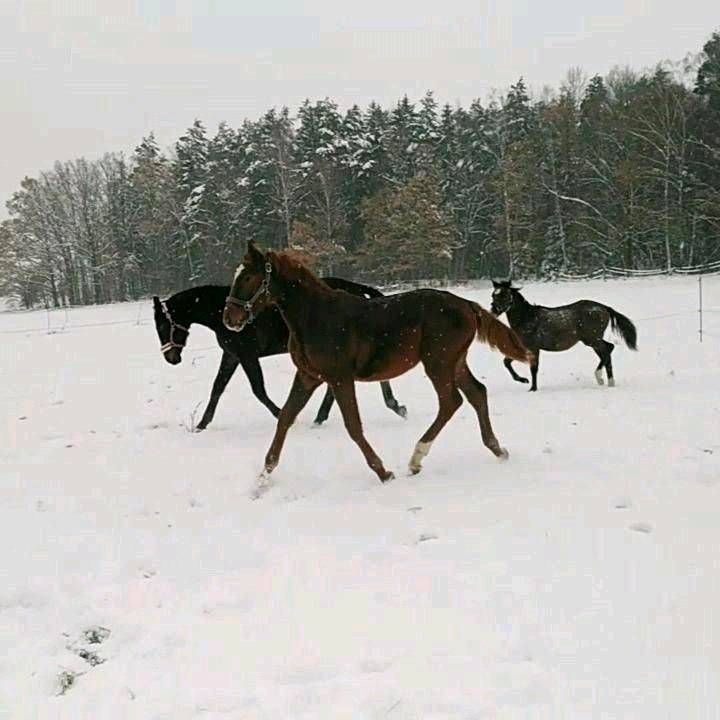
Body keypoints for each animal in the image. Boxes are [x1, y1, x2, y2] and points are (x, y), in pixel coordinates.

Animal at [151, 280, 404, 428]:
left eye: (163, 326)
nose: (171, 358)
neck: (221, 311)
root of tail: (357, 289)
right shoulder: (232, 355)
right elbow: (218, 387)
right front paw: (202, 423)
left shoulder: (247, 355)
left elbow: (258, 389)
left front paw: (281, 413)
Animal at [222, 243, 524, 490]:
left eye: (247, 277)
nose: (229, 318)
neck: (315, 317)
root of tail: (467, 305)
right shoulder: (308, 376)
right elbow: (285, 417)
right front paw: (263, 477)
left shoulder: (339, 378)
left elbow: (353, 425)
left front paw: (383, 472)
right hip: (455, 362)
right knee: (477, 393)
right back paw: (498, 450)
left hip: (438, 362)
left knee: (451, 401)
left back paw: (416, 459)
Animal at [490, 282, 636, 394]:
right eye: (493, 295)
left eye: (504, 295)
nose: (493, 311)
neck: (527, 318)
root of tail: (604, 308)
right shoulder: (524, 348)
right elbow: (507, 362)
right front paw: (523, 380)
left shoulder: (533, 348)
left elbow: (534, 369)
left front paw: (532, 388)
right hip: (592, 340)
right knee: (608, 350)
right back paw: (606, 381)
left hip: (592, 340)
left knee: (607, 351)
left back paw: (603, 379)